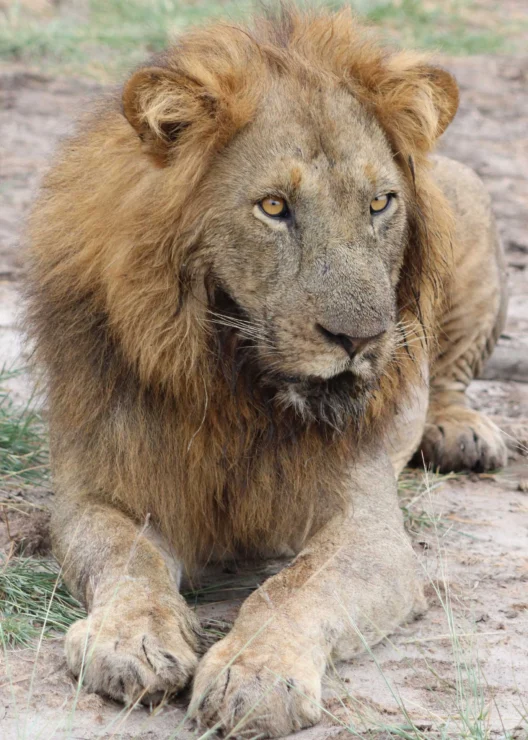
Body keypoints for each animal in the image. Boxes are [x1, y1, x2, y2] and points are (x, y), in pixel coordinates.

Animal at [24, 4, 508, 736]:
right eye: (274, 207)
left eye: (380, 203)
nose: (362, 338)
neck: (237, 389)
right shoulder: (97, 491)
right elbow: (128, 558)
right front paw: (130, 641)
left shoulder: (369, 527)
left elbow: (293, 588)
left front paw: (254, 675)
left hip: (475, 207)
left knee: (449, 378)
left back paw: (460, 432)